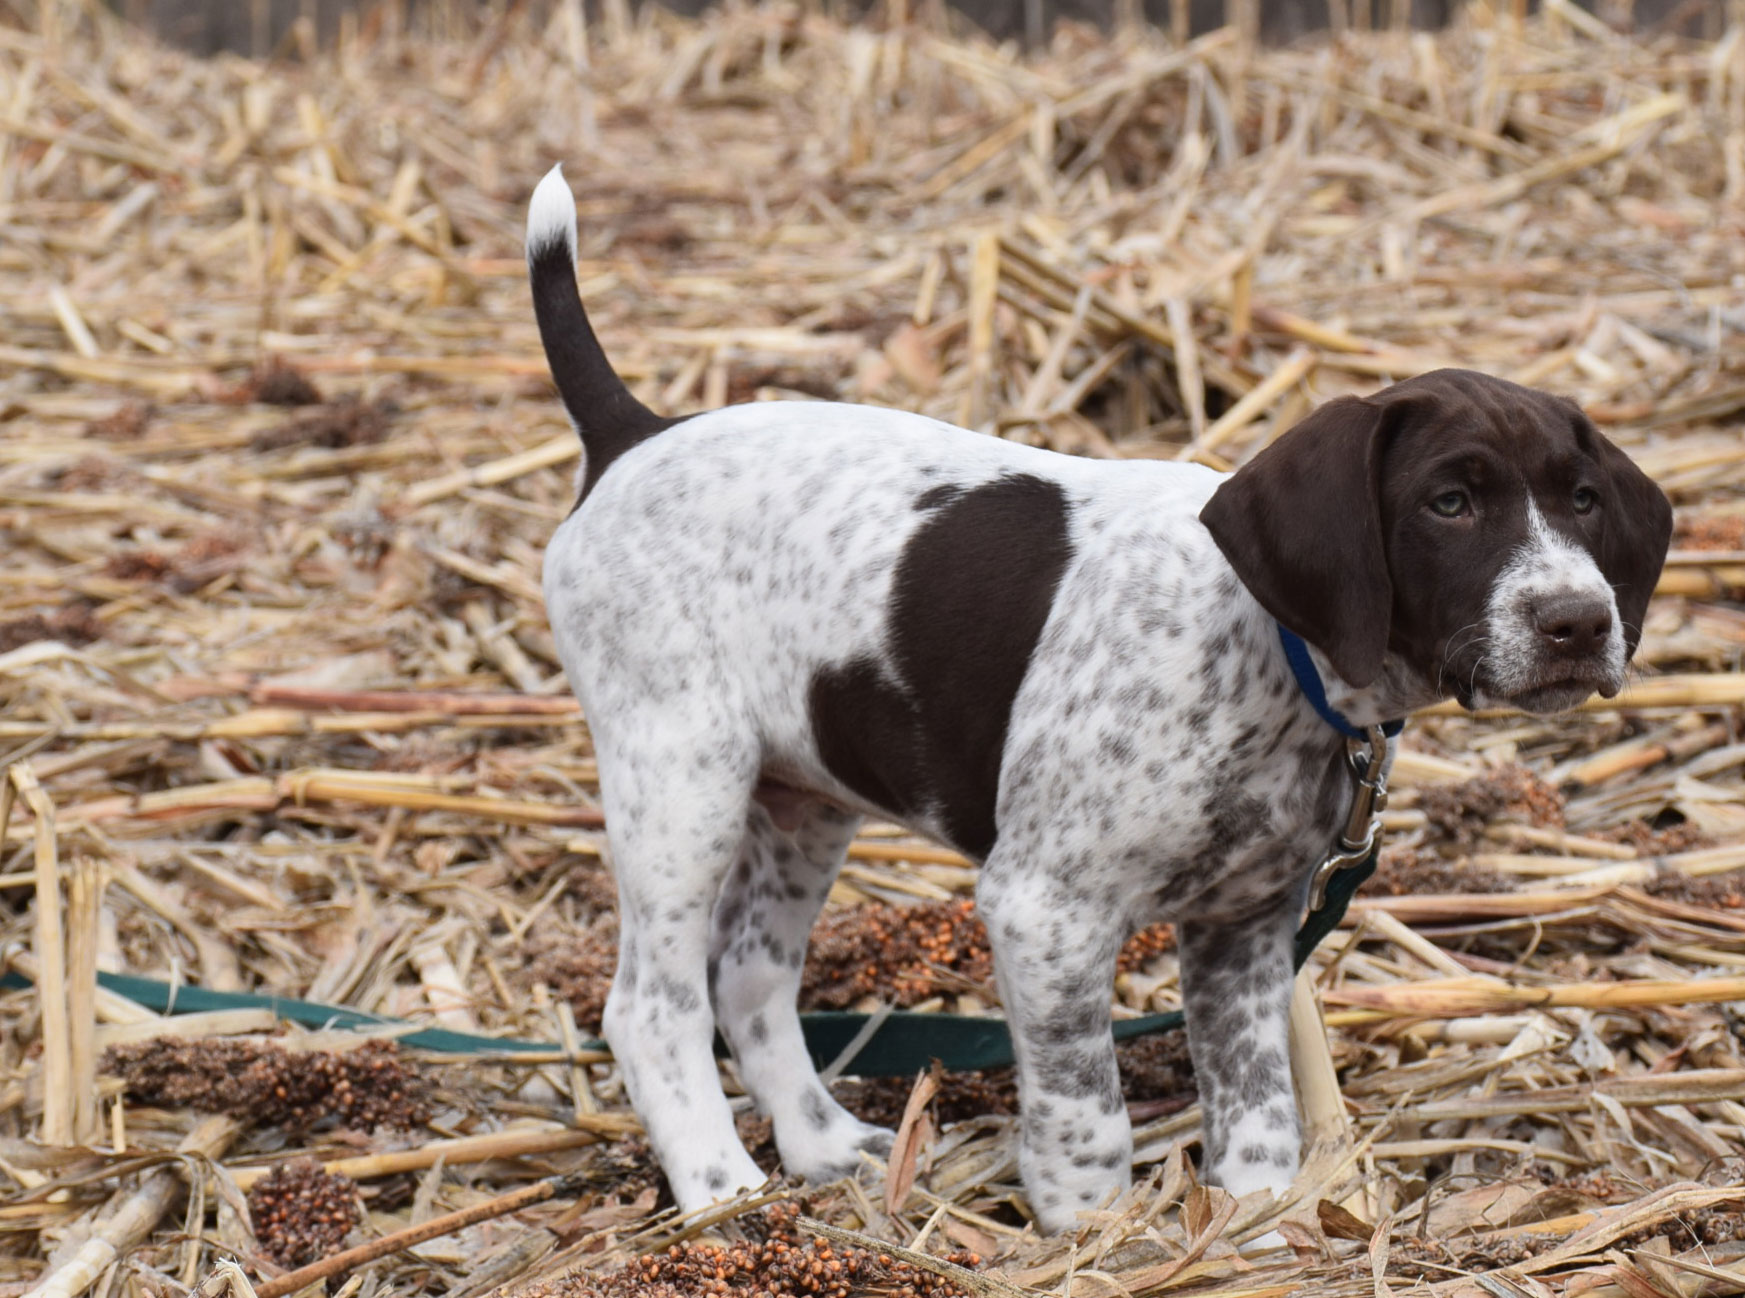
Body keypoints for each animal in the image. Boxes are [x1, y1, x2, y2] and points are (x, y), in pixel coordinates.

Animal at [523, 167, 1668, 1235]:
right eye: (1448, 502)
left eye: (1580, 499)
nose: (1578, 622)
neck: (1268, 651)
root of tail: (632, 435)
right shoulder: (1047, 910)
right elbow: (1085, 1104)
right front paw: (1091, 1228)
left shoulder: (1245, 928)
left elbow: (1254, 1101)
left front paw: (1252, 1220)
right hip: (680, 780)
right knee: (652, 1008)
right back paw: (720, 1190)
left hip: (801, 798)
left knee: (748, 975)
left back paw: (819, 1144)